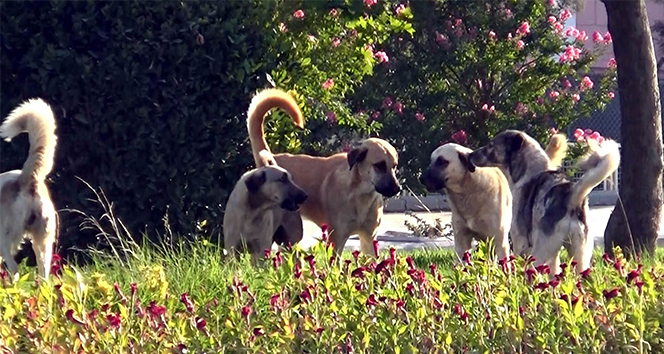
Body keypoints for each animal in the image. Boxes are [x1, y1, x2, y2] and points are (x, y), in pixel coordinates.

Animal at [222, 88, 308, 260]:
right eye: (282, 179)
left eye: (291, 179)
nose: (305, 196)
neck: (253, 212)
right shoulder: (232, 249)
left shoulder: (261, 249)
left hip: (290, 241)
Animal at [246, 94, 400, 256]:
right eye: (379, 165)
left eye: (394, 166)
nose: (398, 189)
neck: (360, 194)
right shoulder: (336, 239)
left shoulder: (369, 239)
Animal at [470, 131, 620, 272]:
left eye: (491, 145)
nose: (470, 155)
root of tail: (571, 196)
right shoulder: (555, 257)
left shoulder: (520, 242)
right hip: (581, 255)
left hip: (540, 251)